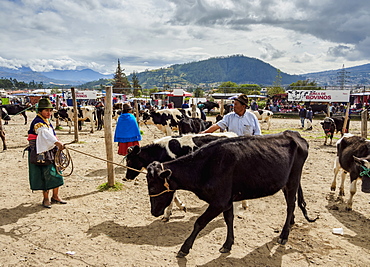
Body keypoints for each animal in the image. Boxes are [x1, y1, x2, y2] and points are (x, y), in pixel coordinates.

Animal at [146, 131, 316, 258]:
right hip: (285, 182)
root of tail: (293, 134)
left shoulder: (219, 202)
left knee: (290, 204)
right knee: (291, 204)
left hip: (293, 179)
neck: (205, 166)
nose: (153, 212)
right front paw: (227, 245)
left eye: (152, 188)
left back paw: (284, 235)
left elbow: (199, 222)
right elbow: (229, 219)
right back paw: (291, 223)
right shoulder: (227, 200)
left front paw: (184, 248)